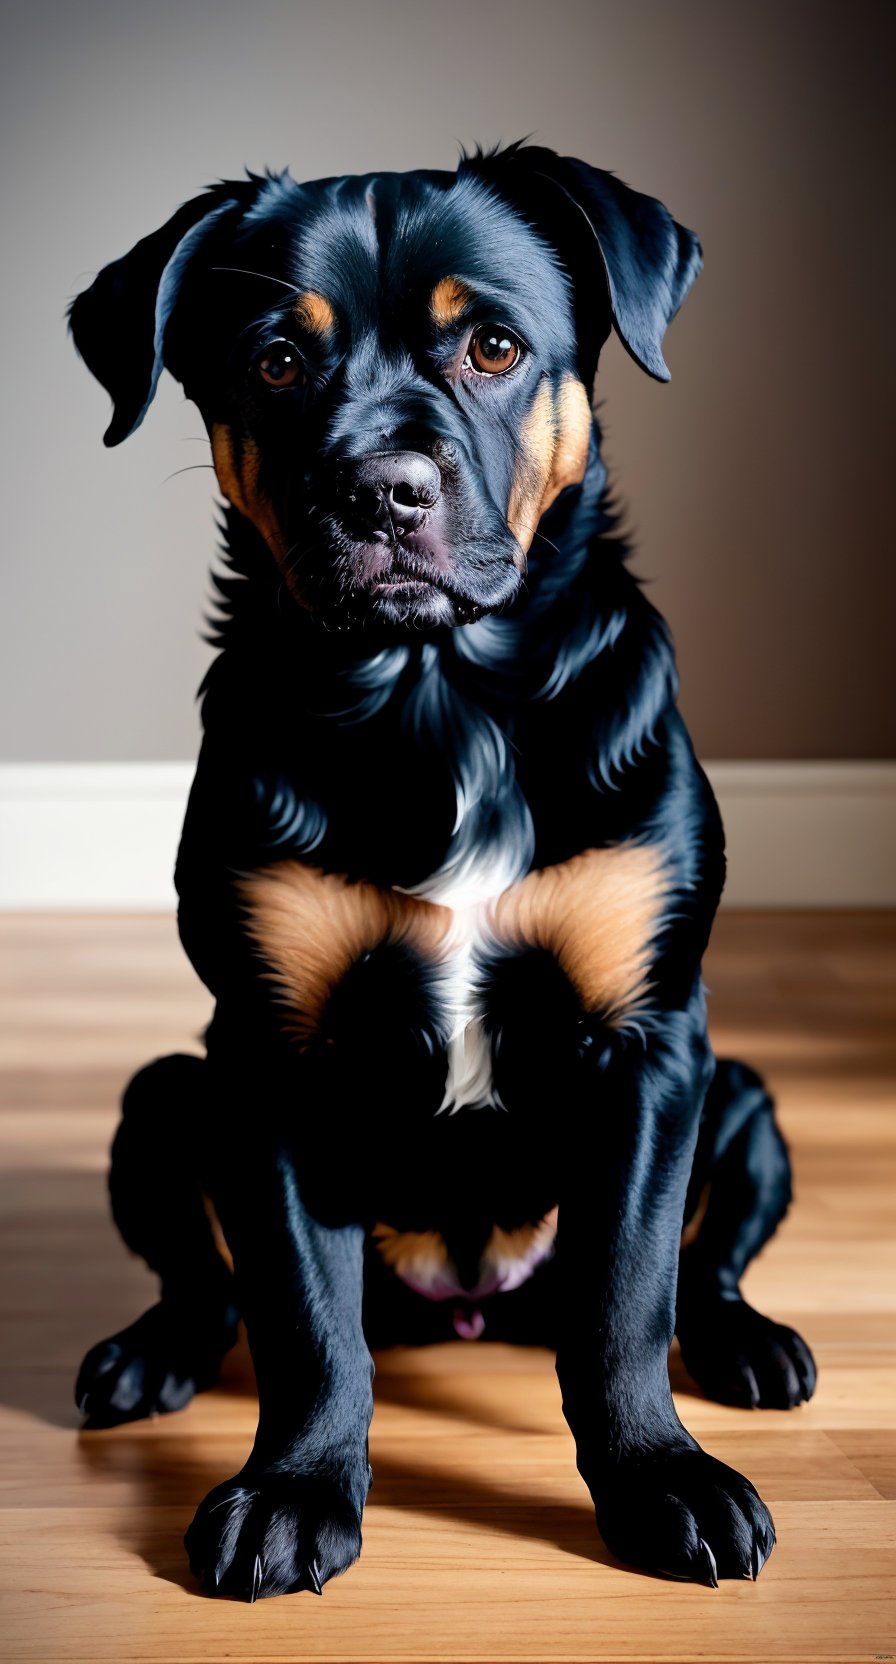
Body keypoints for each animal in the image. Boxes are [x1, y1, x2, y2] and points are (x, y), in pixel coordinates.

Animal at [67, 143, 816, 1597]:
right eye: (275, 362)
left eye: (494, 346)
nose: (381, 491)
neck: (438, 692)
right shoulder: (268, 1056)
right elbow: (302, 1316)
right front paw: (292, 1490)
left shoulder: (651, 1045)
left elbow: (626, 1296)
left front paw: (660, 1479)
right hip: (165, 1094)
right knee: (208, 1277)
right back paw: (149, 1352)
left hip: (742, 1095)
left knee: (701, 1267)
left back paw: (747, 1341)